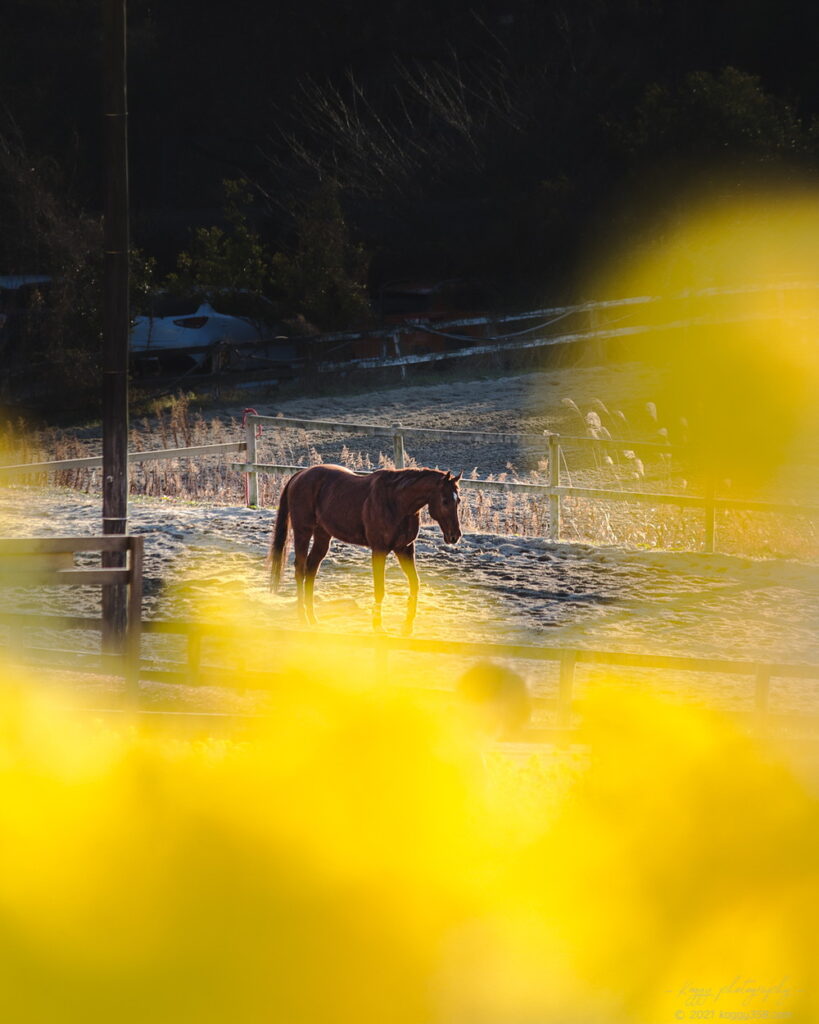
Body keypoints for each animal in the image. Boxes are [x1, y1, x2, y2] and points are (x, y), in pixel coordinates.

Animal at [268, 464, 463, 634]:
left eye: (458, 500)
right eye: (445, 501)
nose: (455, 536)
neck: (397, 502)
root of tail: (300, 475)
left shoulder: (405, 549)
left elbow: (415, 584)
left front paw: (407, 627)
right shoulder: (379, 550)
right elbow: (380, 589)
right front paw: (378, 626)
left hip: (322, 535)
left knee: (311, 569)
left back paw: (313, 618)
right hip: (303, 532)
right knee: (300, 569)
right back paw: (302, 617)